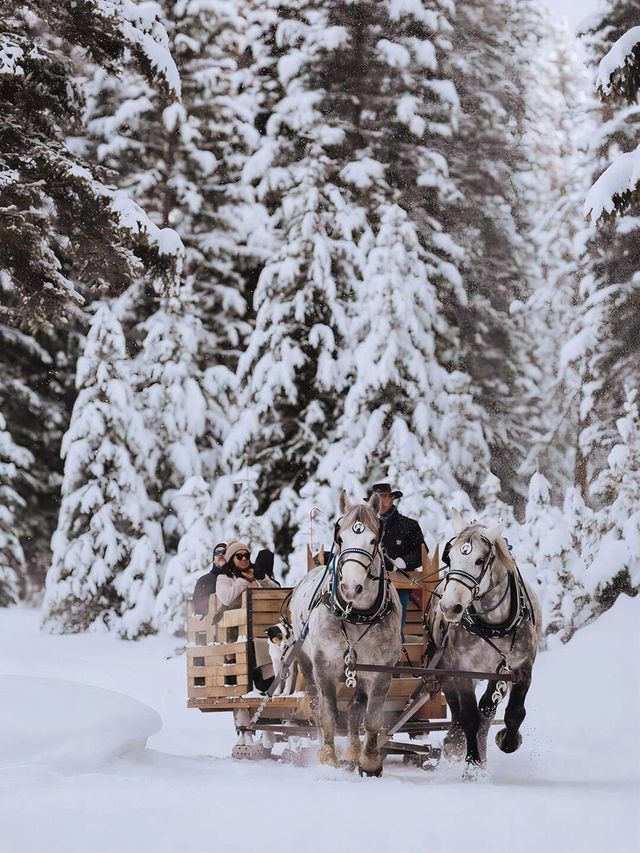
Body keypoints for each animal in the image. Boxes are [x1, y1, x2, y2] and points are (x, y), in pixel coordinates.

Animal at [290, 490, 400, 776]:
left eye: (373, 540)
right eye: (340, 538)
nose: (351, 587)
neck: (356, 615)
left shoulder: (381, 669)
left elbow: (371, 718)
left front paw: (369, 761)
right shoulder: (323, 665)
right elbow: (328, 713)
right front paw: (328, 757)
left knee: (354, 710)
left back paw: (352, 751)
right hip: (305, 664)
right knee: (316, 708)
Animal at [424, 512, 540, 764]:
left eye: (479, 561)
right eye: (450, 558)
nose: (450, 607)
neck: (493, 625)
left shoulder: (521, 668)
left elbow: (514, 713)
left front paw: (507, 740)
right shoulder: (461, 671)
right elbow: (469, 717)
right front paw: (472, 762)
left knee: (487, 709)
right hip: (443, 668)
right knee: (458, 708)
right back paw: (455, 742)